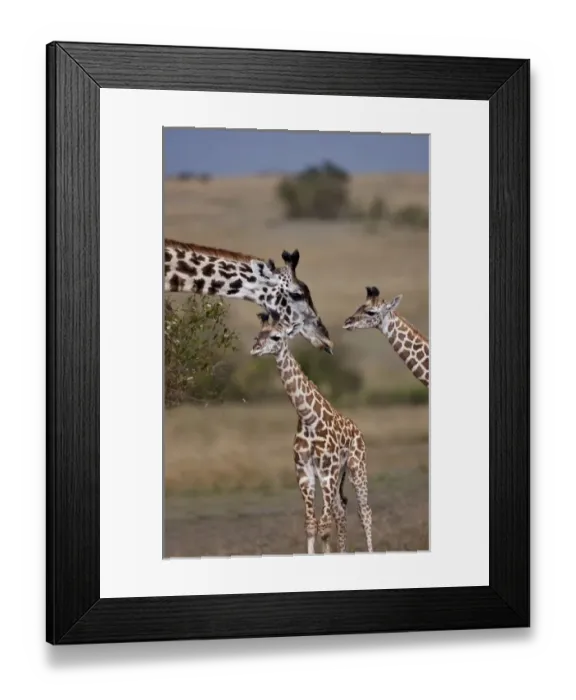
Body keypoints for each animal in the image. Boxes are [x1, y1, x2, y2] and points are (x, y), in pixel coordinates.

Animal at [250, 310, 373, 555]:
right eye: (259, 334)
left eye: (276, 337)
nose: (255, 348)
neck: (308, 418)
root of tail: (358, 430)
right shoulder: (304, 471)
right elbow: (310, 525)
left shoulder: (327, 472)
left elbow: (323, 526)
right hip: (339, 476)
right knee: (341, 511)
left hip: (356, 466)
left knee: (364, 512)